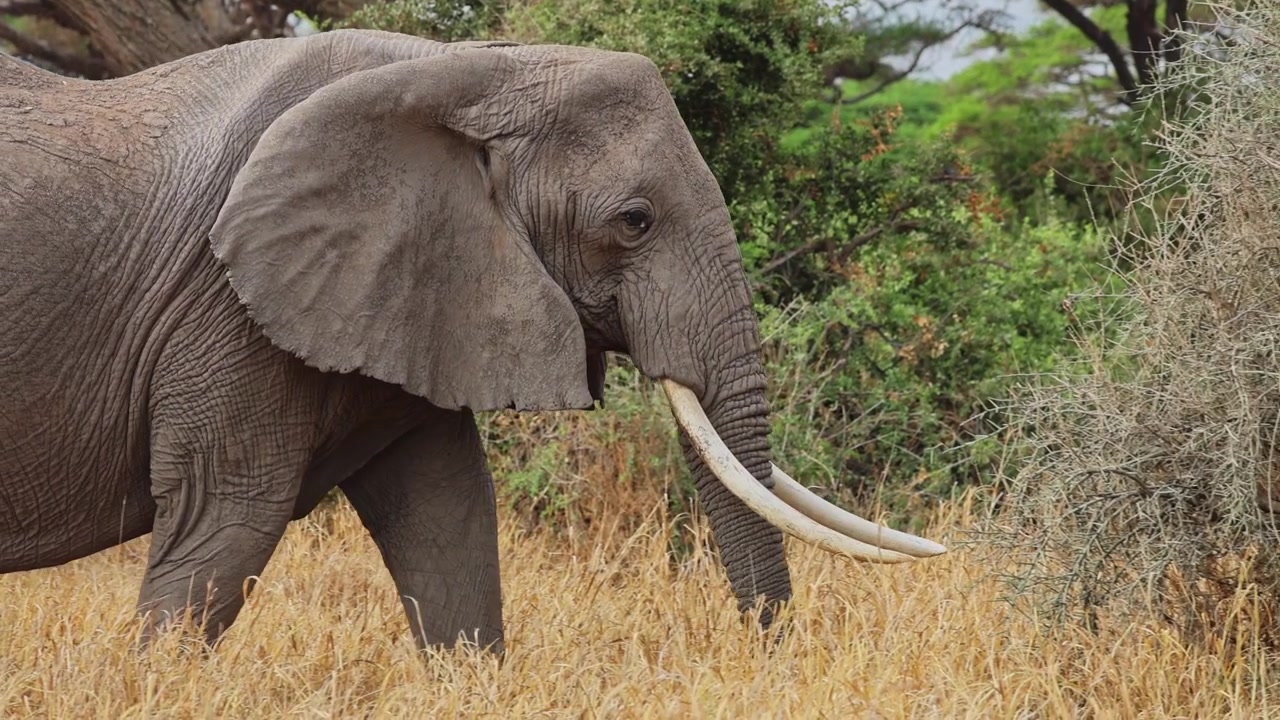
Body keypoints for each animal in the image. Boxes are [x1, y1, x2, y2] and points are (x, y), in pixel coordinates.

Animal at [0, 29, 945, 653]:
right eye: (633, 222)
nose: (769, 654)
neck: (470, 68)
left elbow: (447, 513)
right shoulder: (226, 307)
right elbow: (226, 521)